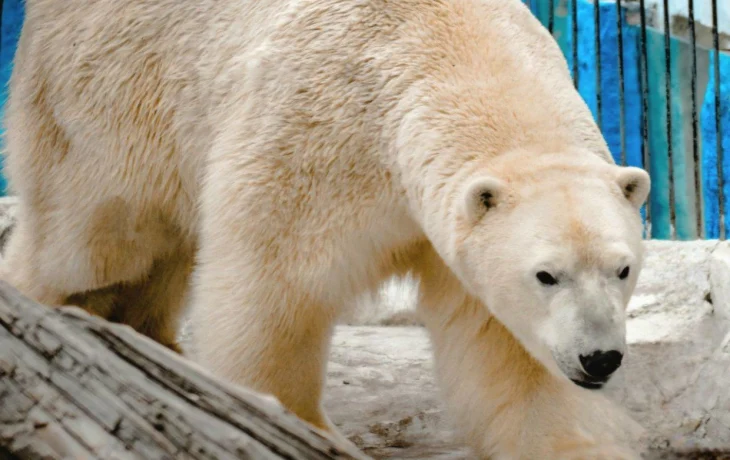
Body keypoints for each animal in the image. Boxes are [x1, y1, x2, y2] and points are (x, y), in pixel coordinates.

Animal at [1, 0, 650, 457]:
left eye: (622, 268)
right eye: (546, 274)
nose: (600, 359)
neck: (448, 43)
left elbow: (506, 350)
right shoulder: (317, 140)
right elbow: (273, 290)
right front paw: (293, 423)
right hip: (108, 101)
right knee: (89, 244)